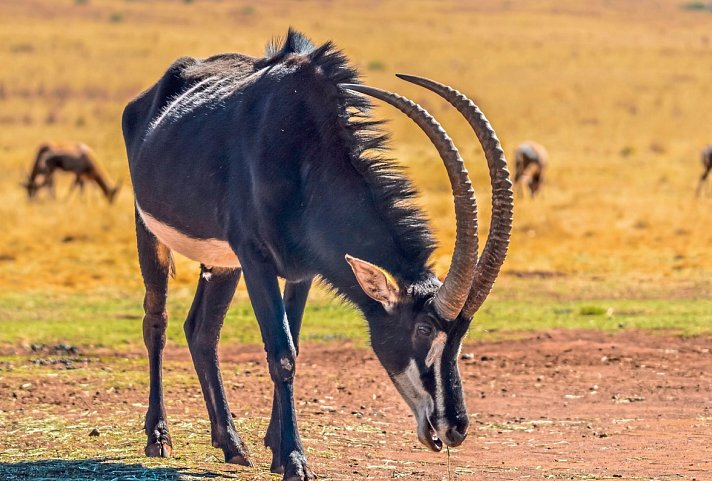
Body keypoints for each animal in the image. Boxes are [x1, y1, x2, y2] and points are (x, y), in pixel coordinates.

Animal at [122, 31, 512, 480]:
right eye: (424, 328)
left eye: (461, 334)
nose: (455, 428)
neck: (303, 151)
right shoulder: (255, 258)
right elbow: (282, 355)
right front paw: (294, 460)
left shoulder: (301, 272)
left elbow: (294, 343)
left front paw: (276, 449)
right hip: (150, 232)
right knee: (157, 322)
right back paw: (159, 437)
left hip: (222, 263)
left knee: (202, 331)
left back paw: (232, 444)